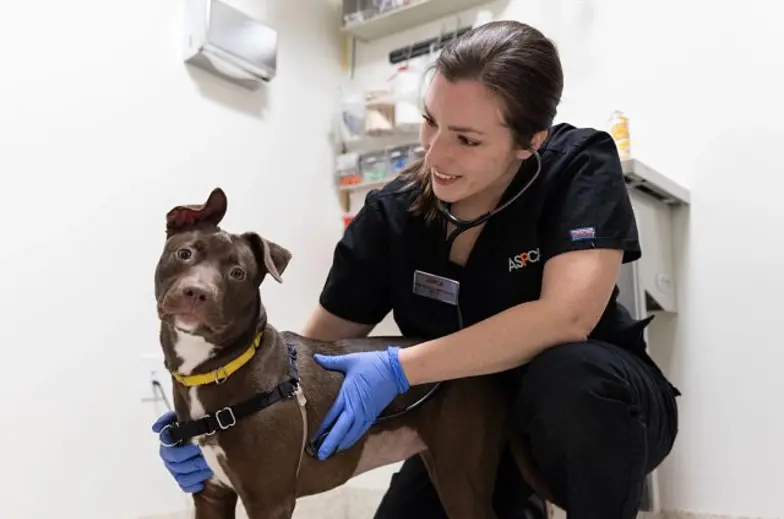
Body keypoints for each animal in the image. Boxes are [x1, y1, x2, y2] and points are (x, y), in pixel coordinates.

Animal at [150, 188, 548, 519]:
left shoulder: (269, 500)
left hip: (459, 475)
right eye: (184, 253)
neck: (218, 369)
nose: (197, 292)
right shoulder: (211, 494)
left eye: (237, 273)